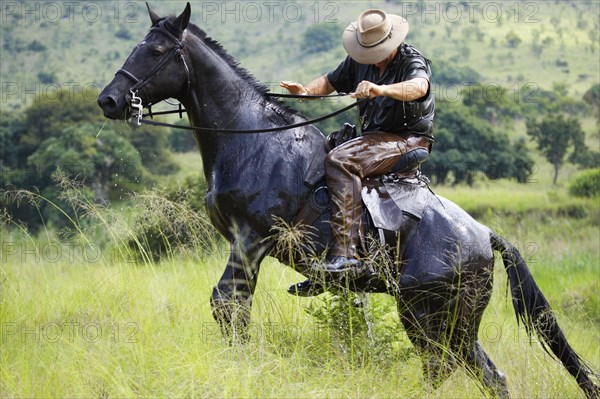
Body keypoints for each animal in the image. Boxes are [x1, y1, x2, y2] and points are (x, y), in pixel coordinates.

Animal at [97, 3, 596, 399]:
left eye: (156, 52)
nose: (109, 100)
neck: (249, 137)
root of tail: (484, 234)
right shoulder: (243, 244)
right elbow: (231, 307)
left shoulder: (251, 239)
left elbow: (228, 305)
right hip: (449, 319)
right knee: (482, 374)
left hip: (430, 314)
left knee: (446, 366)